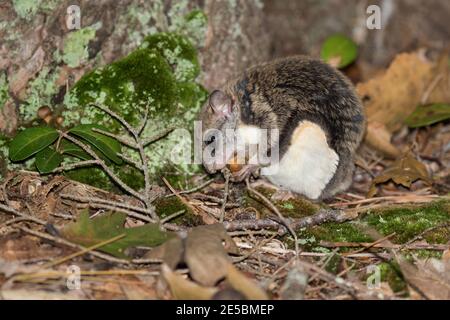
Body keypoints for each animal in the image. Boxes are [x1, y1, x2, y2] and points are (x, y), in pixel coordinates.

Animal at [200, 55, 366, 200]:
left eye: (210, 140)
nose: (209, 169)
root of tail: (344, 177)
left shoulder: (268, 118)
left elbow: (266, 146)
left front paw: (250, 167)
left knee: (312, 195)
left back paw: (286, 192)